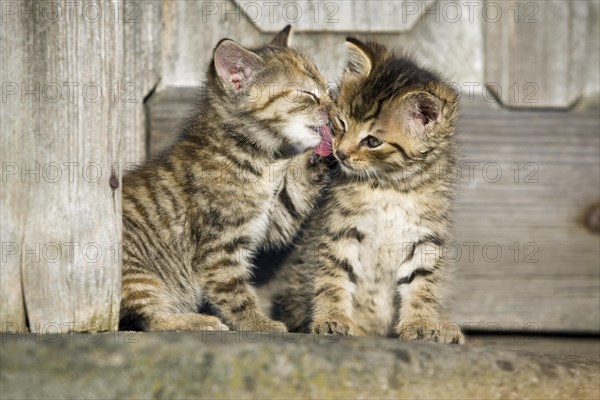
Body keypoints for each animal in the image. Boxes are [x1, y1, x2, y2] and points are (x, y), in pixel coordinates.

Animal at [118, 27, 332, 332]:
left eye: (327, 90)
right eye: (308, 94)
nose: (334, 108)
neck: (259, 158)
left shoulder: (273, 217)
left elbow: (294, 195)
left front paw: (325, 153)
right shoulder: (219, 247)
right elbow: (234, 292)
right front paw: (258, 323)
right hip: (138, 273)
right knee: (149, 319)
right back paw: (196, 320)